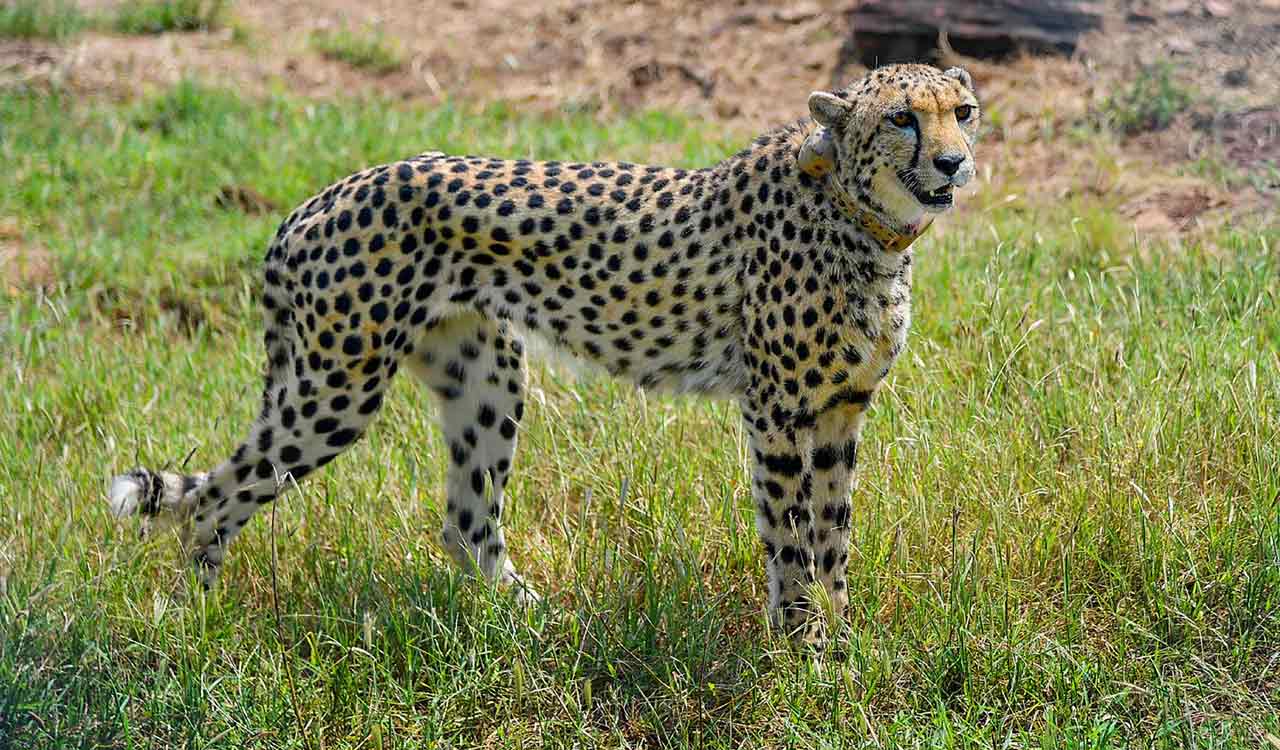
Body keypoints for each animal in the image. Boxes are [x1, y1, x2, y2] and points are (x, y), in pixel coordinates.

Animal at [107, 63, 980, 644]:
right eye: (902, 119)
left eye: (964, 111)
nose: (953, 161)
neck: (864, 221)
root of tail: (319, 198)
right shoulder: (777, 412)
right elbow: (792, 540)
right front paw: (805, 650)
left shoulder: (840, 410)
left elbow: (834, 537)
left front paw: (843, 645)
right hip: (336, 390)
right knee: (218, 498)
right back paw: (195, 622)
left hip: (485, 374)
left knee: (466, 523)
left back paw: (537, 623)